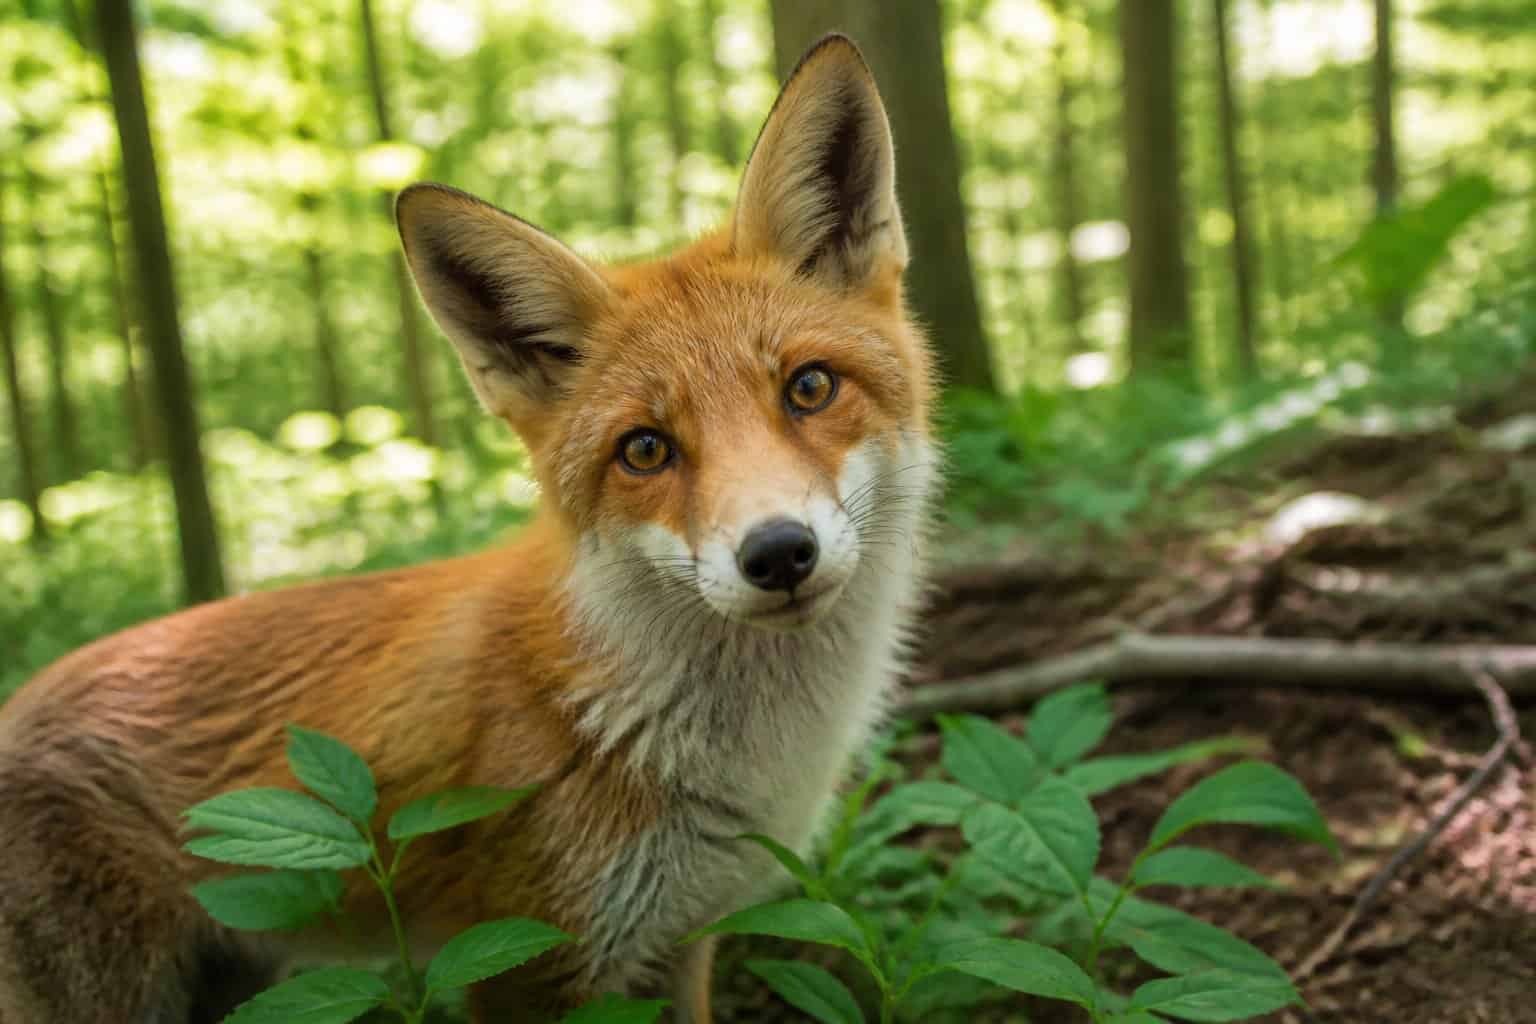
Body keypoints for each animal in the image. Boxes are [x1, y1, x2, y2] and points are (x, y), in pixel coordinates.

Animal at [0, 34, 937, 1024]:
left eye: (809, 388)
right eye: (645, 449)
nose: (778, 552)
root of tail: (19, 701)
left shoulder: (686, 941)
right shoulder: (527, 961)